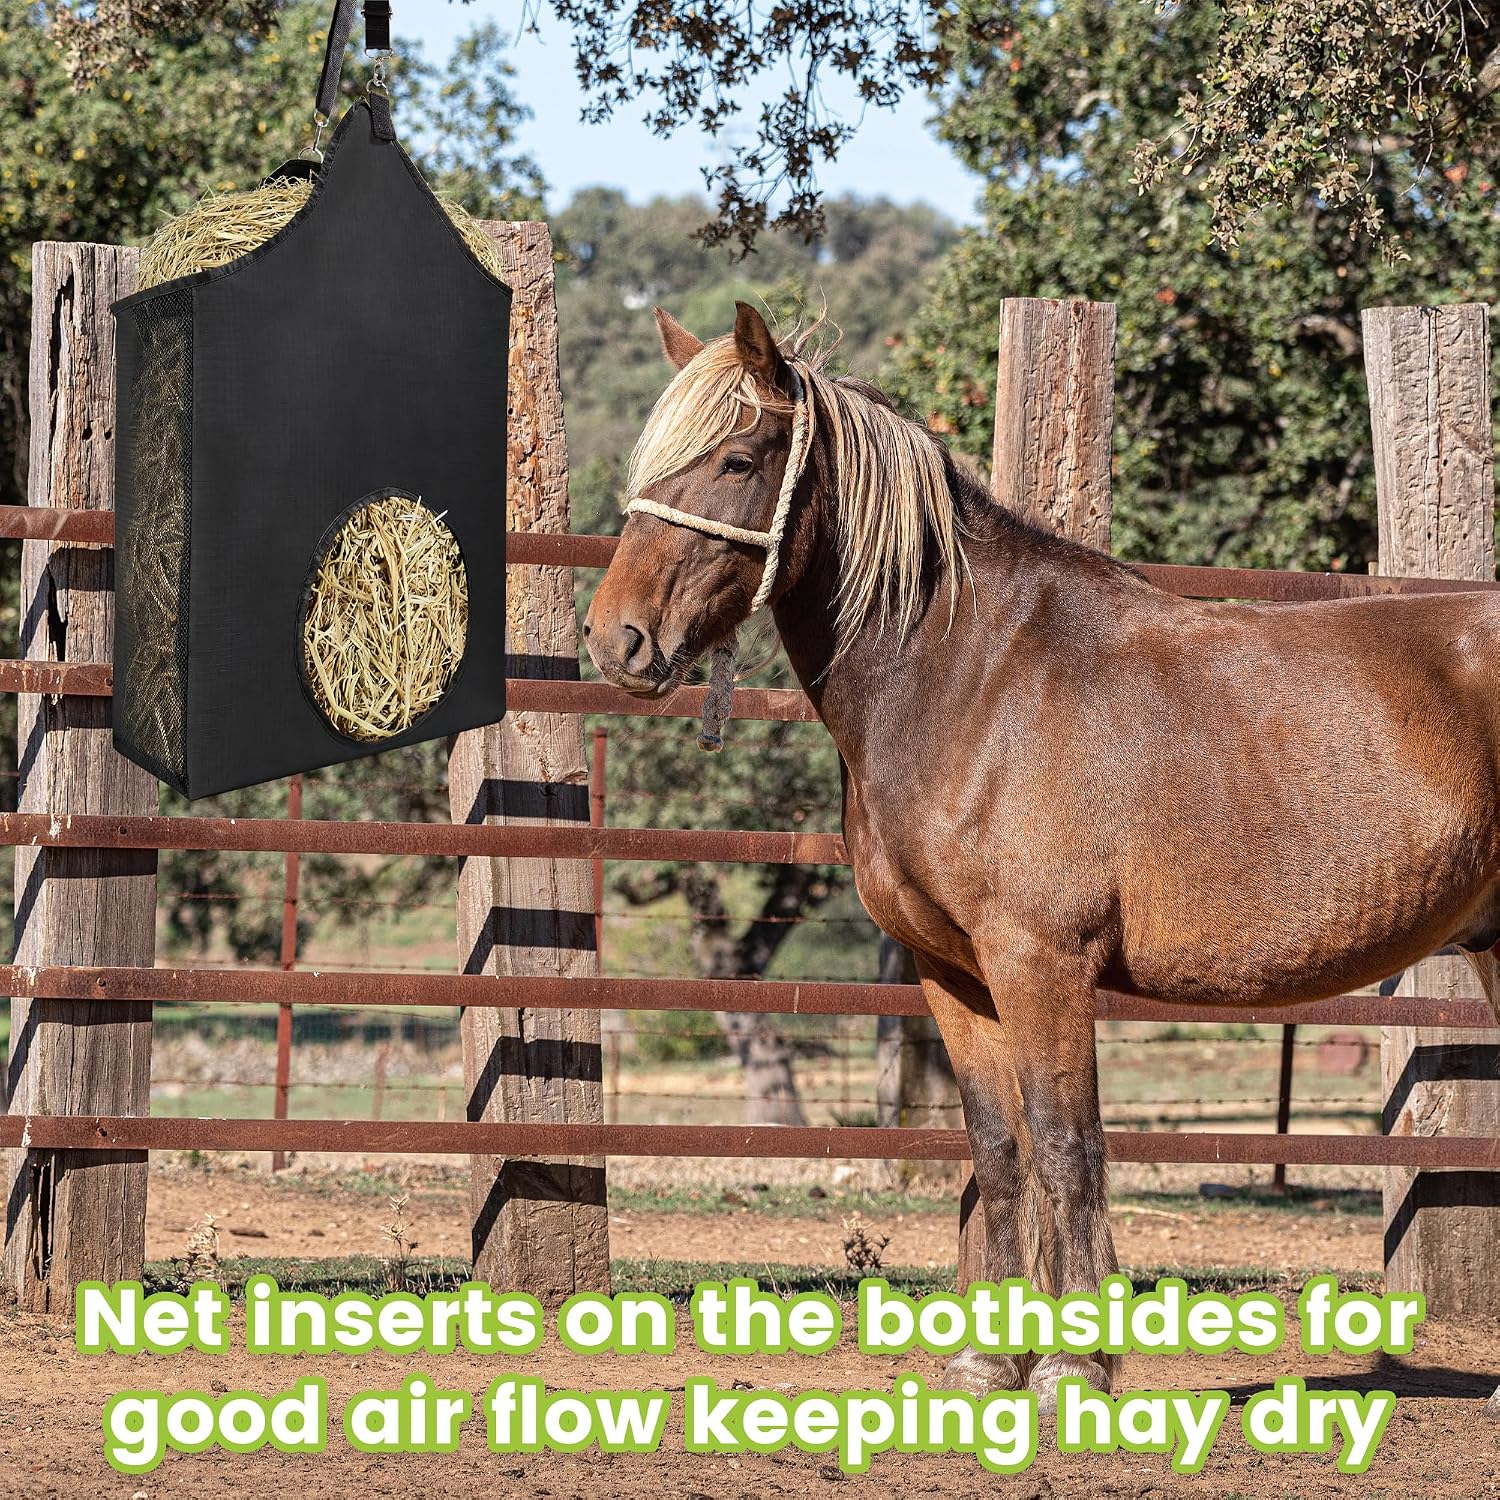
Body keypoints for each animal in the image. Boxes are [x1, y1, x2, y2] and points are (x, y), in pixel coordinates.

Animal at [583, 301, 1500, 1405]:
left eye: (737, 458)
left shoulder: (1043, 963)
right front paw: (988, 1358)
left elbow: (1067, 1144)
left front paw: (1074, 1363)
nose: (617, 641)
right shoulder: (951, 971)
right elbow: (997, 1146)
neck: (973, 676)